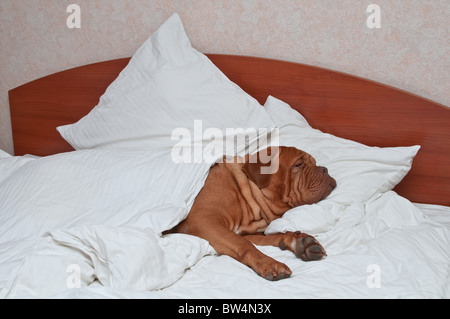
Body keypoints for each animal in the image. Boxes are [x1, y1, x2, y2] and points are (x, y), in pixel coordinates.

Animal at [167, 146, 336, 282]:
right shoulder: (203, 222)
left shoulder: (238, 232)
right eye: (298, 164)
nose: (324, 169)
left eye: (315, 163)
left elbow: (268, 238)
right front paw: (270, 263)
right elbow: (245, 245)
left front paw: (298, 241)